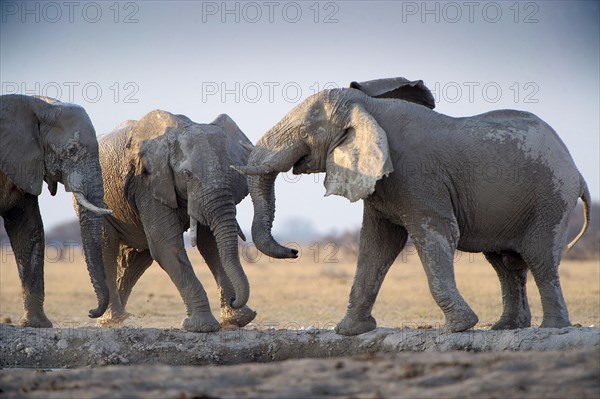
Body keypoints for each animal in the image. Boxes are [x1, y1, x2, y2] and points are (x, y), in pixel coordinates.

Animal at [0, 94, 112, 328]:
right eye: (71, 151)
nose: (91, 312)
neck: (36, 104)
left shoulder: (23, 164)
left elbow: (26, 225)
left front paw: (36, 324)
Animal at [98, 111, 255, 332]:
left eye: (231, 172)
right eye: (186, 175)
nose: (234, 301)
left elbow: (212, 244)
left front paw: (237, 320)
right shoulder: (147, 183)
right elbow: (166, 245)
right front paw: (202, 327)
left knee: (138, 258)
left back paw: (115, 320)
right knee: (106, 246)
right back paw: (111, 320)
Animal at [234, 77, 592, 334]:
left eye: (305, 130)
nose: (295, 251)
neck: (368, 107)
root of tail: (577, 171)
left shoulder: (420, 177)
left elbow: (435, 232)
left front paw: (460, 328)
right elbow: (377, 245)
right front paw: (350, 331)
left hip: (550, 200)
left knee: (540, 259)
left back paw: (553, 328)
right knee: (506, 264)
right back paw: (506, 327)